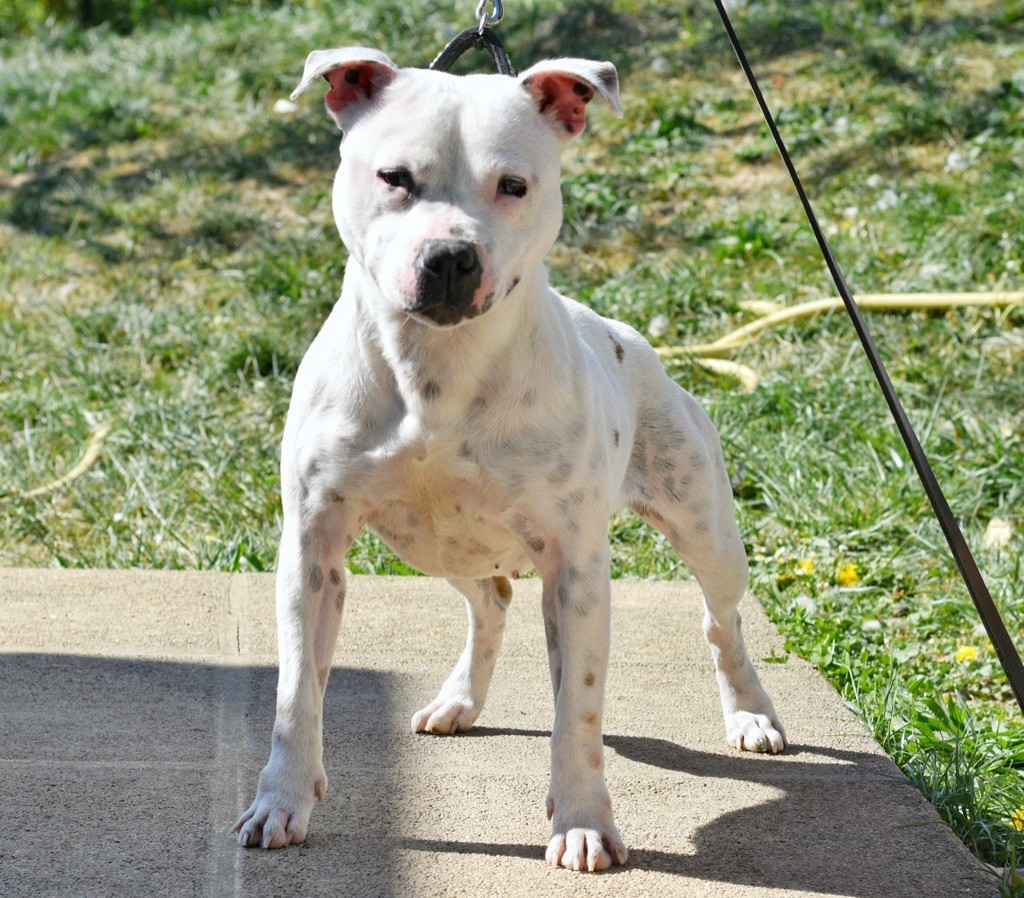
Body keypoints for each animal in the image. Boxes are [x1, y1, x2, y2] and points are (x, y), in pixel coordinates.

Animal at [237, 47, 782, 868]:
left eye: (514, 185)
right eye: (394, 176)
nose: (450, 257)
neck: (437, 370)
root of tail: (625, 335)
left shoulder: (577, 569)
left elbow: (578, 711)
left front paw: (582, 821)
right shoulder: (313, 550)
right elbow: (298, 691)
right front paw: (282, 800)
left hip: (707, 529)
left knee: (722, 621)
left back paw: (750, 713)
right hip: (437, 545)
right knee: (491, 601)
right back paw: (460, 698)